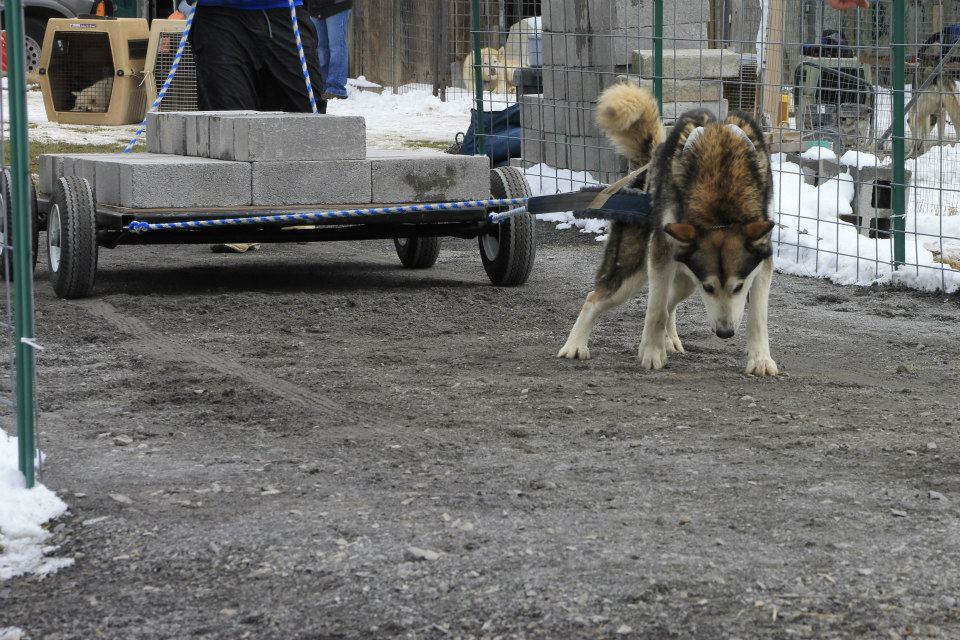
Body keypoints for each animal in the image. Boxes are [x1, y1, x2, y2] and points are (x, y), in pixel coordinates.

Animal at [560, 84, 776, 376]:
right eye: (708, 288)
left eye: (740, 286)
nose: (725, 333)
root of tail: (649, 162)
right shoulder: (661, 255)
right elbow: (655, 310)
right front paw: (651, 352)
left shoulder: (762, 261)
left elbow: (758, 316)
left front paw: (760, 359)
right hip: (635, 271)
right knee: (596, 298)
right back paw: (575, 344)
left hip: (684, 280)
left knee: (672, 302)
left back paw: (670, 339)